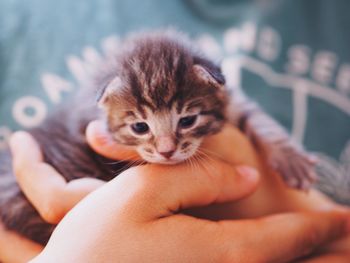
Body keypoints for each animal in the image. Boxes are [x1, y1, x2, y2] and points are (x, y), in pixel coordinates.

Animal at [0, 31, 318, 245]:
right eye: (140, 127)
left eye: (187, 121)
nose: (167, 151)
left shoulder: (231, 98)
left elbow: (260, 120)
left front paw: (291, 159)